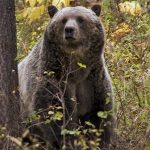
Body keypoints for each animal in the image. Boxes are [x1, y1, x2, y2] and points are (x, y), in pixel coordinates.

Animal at [18, 4, 115, 149]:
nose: (69, 29)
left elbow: (99, 116)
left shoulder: (93, 81)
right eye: (63, 20)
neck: (76, 69)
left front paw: (99, 142)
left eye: (80, 19)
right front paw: (65, 141)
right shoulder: (54, 78)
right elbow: (57, 115)